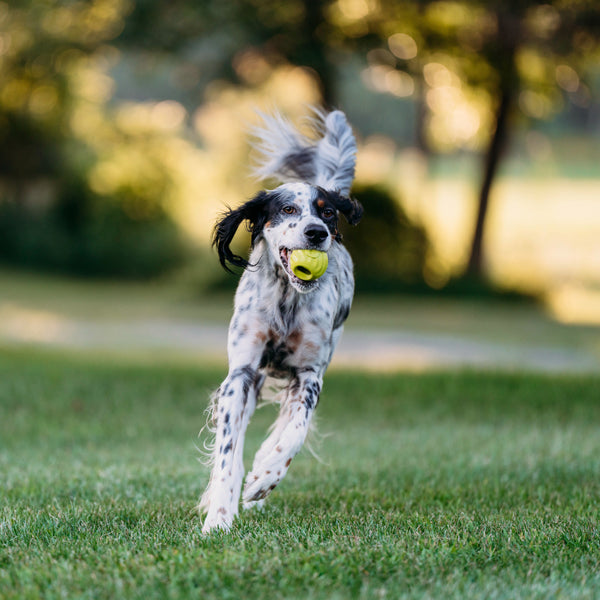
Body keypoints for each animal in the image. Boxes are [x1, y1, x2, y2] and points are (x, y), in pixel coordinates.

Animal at [199, 109, 364, 536]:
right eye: (288, 210)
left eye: (326, 211)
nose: (317, 232)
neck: (287, 302)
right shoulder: (241, 375)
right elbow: (227, 454)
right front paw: (219, 516)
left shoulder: (310, 375)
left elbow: (294, 433)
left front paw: (265, 476)